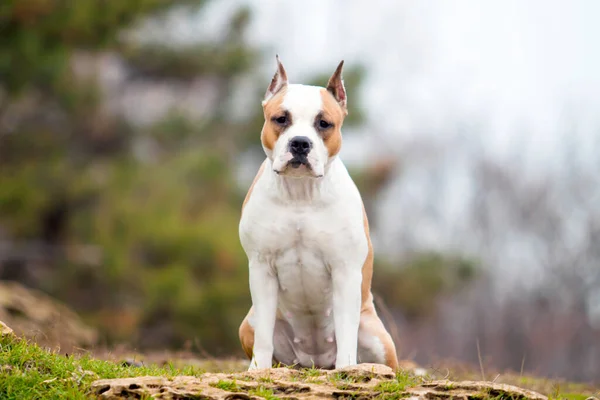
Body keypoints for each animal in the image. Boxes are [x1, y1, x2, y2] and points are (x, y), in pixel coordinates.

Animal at [238, 56, 398, 372]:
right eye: (281, 119)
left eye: (324, 123)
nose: (300, 143)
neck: (301, 194)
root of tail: (315, 361)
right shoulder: (261, 267)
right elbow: (264, 335)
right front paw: (258, 370)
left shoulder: (345, 270)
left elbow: (346, 331)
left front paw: (347, 369)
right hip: (247, 324)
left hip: (376, 335)